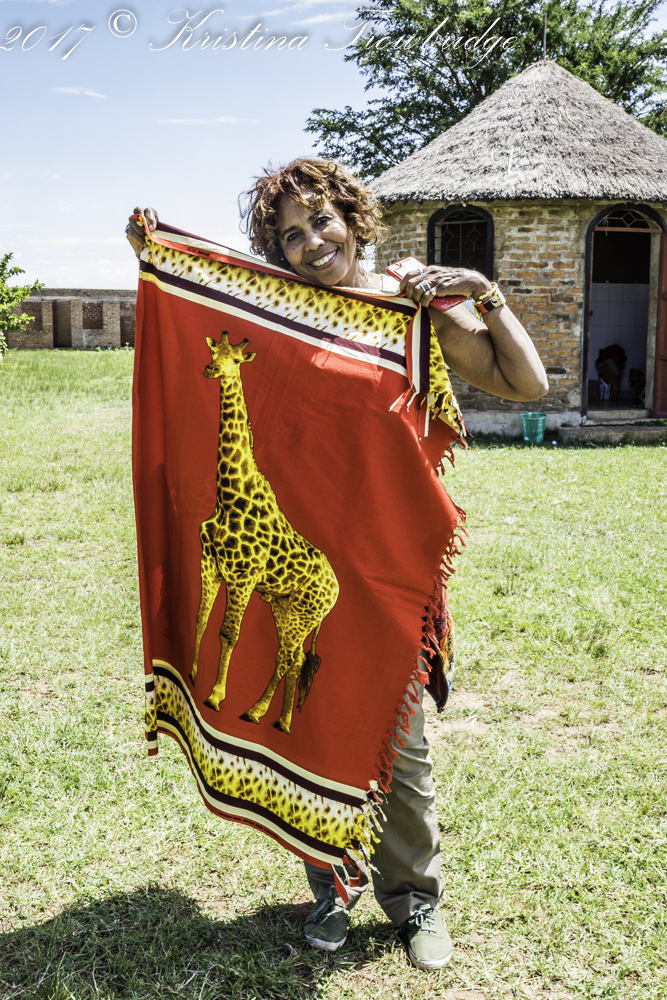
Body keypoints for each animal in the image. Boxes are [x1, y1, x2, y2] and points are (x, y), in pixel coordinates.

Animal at [188, 332, 339, 735]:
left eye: (238, 359)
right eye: (213, 351)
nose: (211, 369)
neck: (229, 494)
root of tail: (337, 589)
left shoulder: (243, 576)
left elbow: (229, 633)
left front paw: (215, 696)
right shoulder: (209, 561)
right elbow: (201, 617)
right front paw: (191, 674)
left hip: (304, 613)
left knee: (287, 656)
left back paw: (254, 711)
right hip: (286, 608)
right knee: (296, 659)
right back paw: (282, 722)